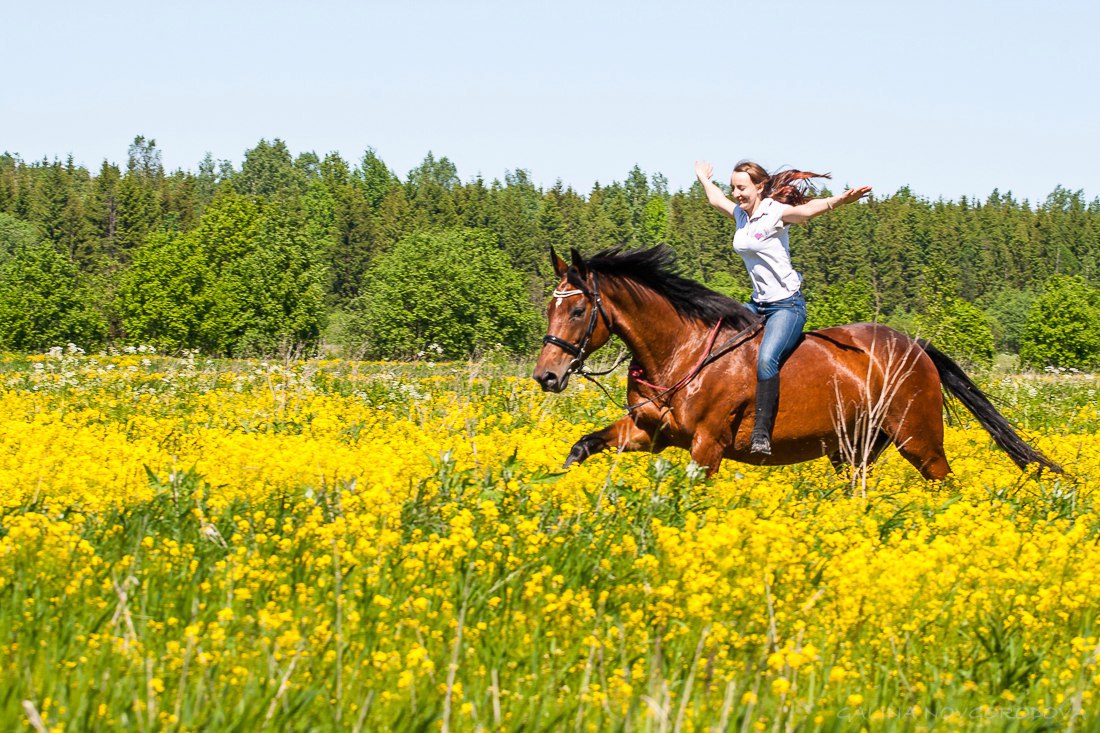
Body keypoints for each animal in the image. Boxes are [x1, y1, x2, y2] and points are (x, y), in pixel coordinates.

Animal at [528, 245, 1060, 479]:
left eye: (577, 310)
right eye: (550, 307)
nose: (546, 376)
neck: (680, 352)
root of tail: (915, 345)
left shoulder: (707, 445)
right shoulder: (647, 433)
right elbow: (582, 446)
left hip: (920, 438)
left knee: (943, 482)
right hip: (855, 449)